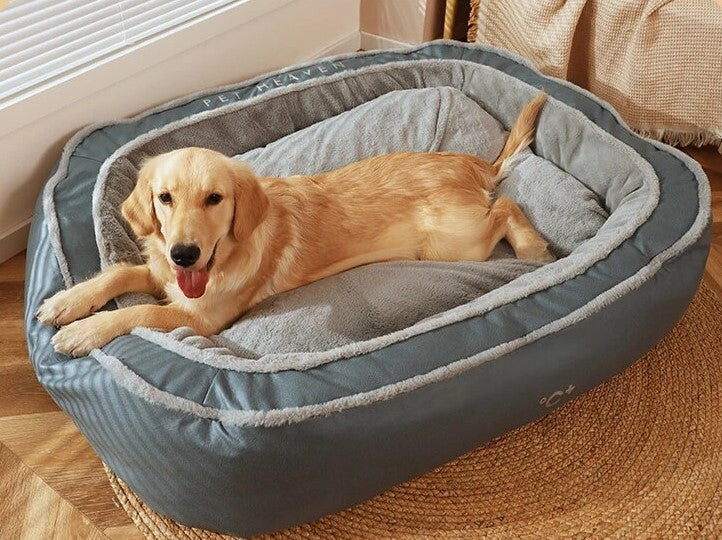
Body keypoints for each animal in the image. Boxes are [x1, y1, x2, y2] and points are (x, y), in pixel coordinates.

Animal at [38, 90, 552, 356]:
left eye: (214, 199)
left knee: (507, 208)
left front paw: (83, 332)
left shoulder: (201, 319)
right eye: (165, 198)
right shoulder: (166, 272)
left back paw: (533, 248)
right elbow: (121, 273)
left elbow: (138, 312)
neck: (222, 258)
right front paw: (67, 302)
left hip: (454, 243)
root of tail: (470, 163)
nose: (185, 253)